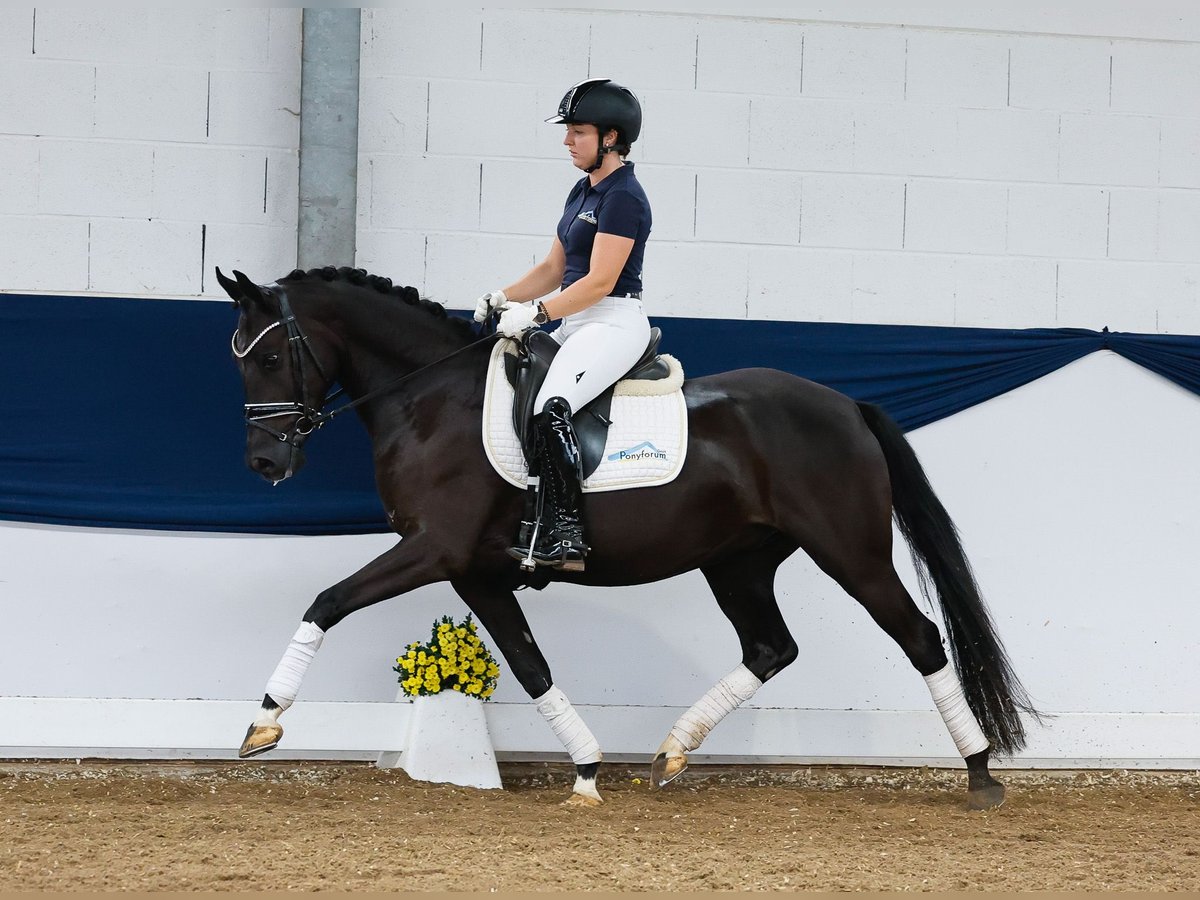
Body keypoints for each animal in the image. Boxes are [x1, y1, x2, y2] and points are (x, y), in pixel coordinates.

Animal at [218, 266, 1041, 811]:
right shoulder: (473, 572)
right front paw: (586, 771)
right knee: (770, 648)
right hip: (737, 562)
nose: (263, 464)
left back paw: (980, 775)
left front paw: (264, 723)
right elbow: (530, 665)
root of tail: (846, 405)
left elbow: (327, 602)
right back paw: (673, 751)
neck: (429, 398)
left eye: (270, 356)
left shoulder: (435, 551)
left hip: (852, 553)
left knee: (919, 638)